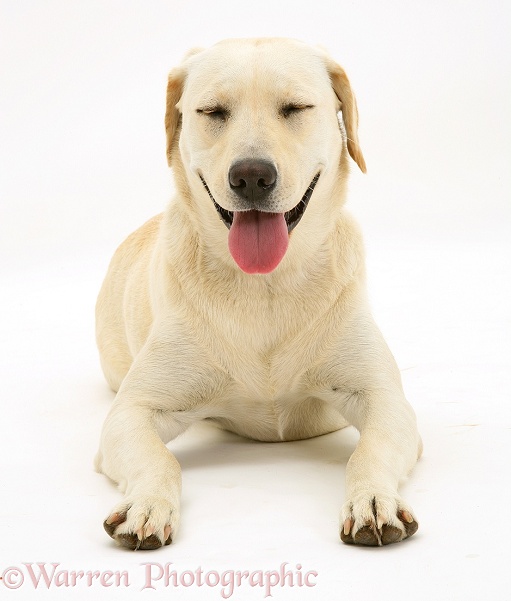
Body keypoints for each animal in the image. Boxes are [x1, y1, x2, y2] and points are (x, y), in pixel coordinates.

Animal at [94, 37, 422, 552]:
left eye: (295, 108)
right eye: (212, 111)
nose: (251, 176)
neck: (266, 287)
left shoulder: (385, 398)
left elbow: (370, 450)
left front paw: (372, 500)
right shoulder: (131, 411)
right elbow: (159, 459)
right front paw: (146, 504)